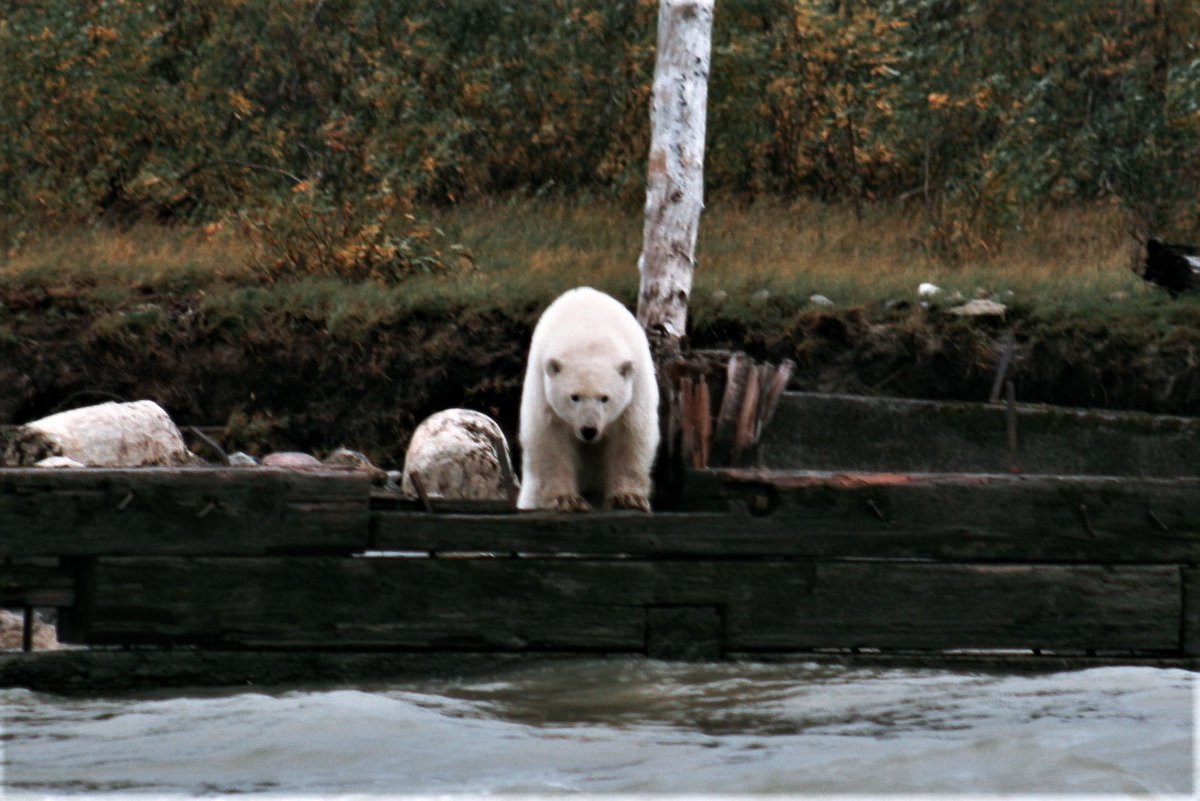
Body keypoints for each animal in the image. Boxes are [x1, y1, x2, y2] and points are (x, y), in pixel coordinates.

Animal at [517, 287, 660, 513]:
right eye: (574, 397)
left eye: (605, 398)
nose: (589, 430)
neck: (590, 330)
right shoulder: (542, 385)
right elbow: (550, 437)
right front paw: (565, 499)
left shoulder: (637, 385)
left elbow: (631, 434)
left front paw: (628, 497)